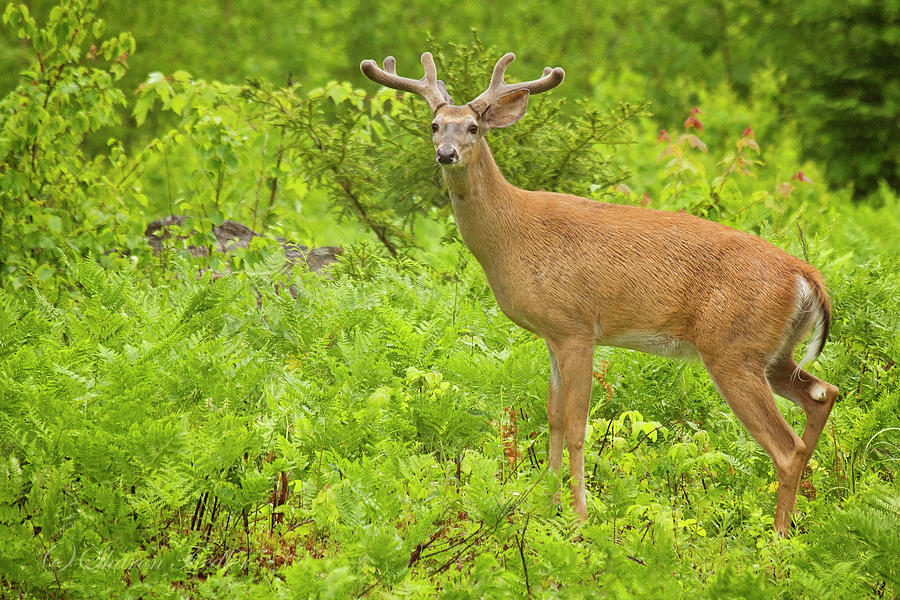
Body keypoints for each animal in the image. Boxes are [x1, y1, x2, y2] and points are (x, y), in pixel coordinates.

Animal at [358, 51, 836, 536]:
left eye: (473, 127)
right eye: (435, 125)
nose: (446, 153)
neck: (512, 235)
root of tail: (804, 275)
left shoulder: (576, 327)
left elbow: (575, 425)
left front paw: (580, 517)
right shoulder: (550, 334)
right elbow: (551, 417)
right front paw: (545, 506)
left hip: (732, 348)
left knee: (788, 446)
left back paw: (778, 537)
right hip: (771, 352)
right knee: (824, 393)